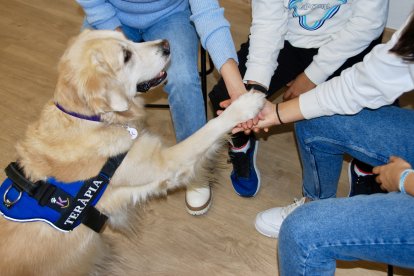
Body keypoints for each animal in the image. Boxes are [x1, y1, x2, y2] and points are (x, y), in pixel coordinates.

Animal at [0, 29, 266, 274]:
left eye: (127, 38)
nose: (166, 44)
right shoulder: (164, 164)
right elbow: (208, 129)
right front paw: (244, 105)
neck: (91, 119)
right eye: (126, 56)